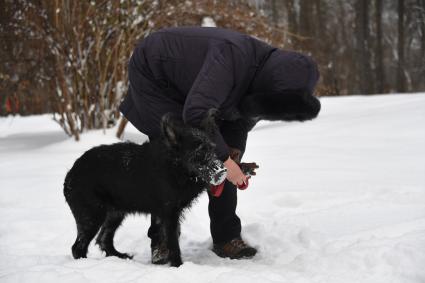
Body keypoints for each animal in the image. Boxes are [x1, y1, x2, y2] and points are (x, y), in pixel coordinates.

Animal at [63, 112, 227, 266]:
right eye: (198, 152)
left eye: (212, 148)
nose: (222, 171)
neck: (175, 166)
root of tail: (70, 175)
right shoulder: (169, 214)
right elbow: (173, 244)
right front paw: (178, 266)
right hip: (91, 216)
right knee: (78, 247)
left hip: (115, 213)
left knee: (104, 239)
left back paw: (119, 257)